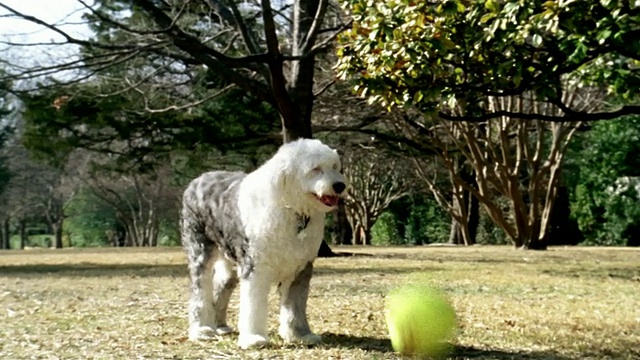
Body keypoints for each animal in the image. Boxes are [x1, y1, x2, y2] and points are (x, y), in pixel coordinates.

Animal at [180, 138, 348, 348]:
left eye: (334, 166)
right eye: (315, 169)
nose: (340, 185)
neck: (293, 210)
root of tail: (199, 179)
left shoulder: (300, 268)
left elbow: (295, 305)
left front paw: (300, 335)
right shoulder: (256, 267)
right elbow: (254, 305)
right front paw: (254, 338)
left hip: (229, 258)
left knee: (222, 285)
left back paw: (220, 326)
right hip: (200, 250)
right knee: (200, 291)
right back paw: (202, 330)